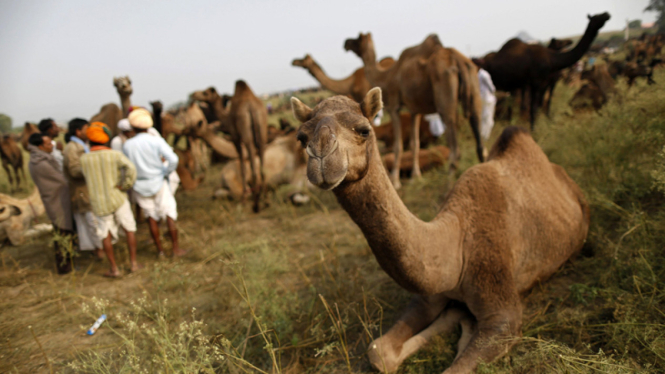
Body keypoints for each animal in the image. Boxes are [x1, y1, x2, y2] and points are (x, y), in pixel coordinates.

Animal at [189, 80, 268, 212]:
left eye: (205, 93)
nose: (193, 94)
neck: (226, 117)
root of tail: (251, 107)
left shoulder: (235, 137)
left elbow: (242, 166)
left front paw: (244, 198)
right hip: (262, 129)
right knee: (262, 159)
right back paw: (265, 199)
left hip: (246, 133)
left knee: (252, 160)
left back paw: (255, 204)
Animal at [290, 88, 588, 374]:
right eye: (301, 137)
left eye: (364, 130)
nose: (322, 156)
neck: (457, 246)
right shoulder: (427, 296)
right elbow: (378, 351)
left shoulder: (503, 311)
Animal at [342, 33, 482, 188]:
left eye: (357, 39)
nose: (346, 43)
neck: (387, 76)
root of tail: (458, 60)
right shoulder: (415, 110)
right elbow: (415, 143)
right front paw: (416, 177)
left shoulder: (394, 106)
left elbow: (398, 145)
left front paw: (395, 180)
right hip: (473, 85)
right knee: (479, 132)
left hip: (445, 98)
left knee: (454, 144)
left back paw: (449, 183)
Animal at [478, 12, 612, 130]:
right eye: (596, 17)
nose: (607, 14)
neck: (552, 59)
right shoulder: (536, 82)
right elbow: (534, 107)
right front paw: (534, 130)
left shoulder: (541, 83)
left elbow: (539, 104)